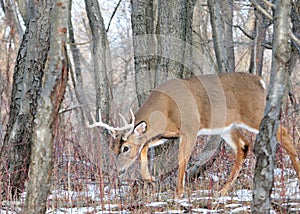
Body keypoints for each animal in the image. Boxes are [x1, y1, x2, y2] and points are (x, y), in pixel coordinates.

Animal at [88, 72, 298, 197]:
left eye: (125, 147)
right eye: (113, 147)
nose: (118, 169)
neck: (165, 109)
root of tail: (260, 81)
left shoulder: (190, 127)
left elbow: (182, 158)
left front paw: (179, 192)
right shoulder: (167, 134)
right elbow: (145, 146)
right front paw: (150, 178)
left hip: (254, 113)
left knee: (283, 132)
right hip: (226, 127)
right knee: (244, 146)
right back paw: (223, 190)